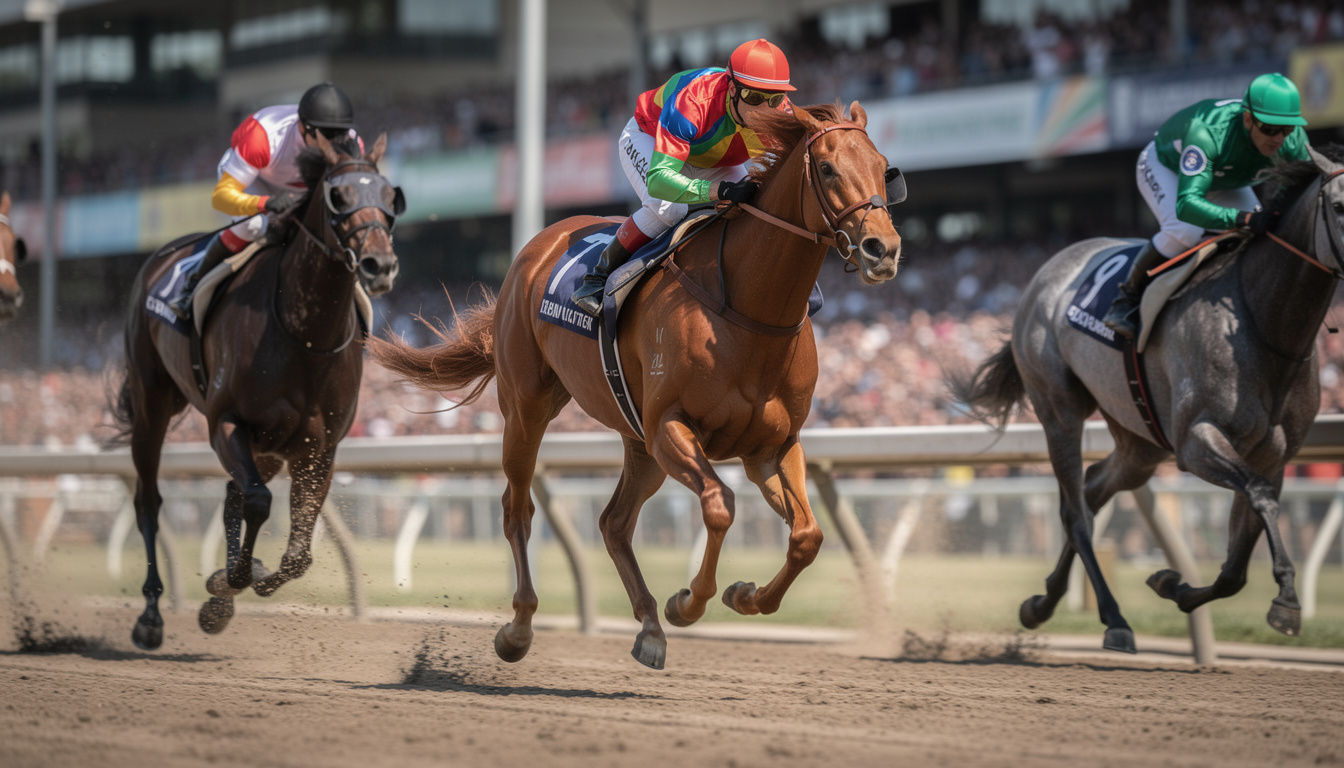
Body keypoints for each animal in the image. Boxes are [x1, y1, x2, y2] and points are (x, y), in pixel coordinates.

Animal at [108, 132, 401, 651]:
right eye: (339, 196)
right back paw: (151, 615)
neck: (305, 334)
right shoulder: (226, 422)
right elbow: (259, 502)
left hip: (268, 445)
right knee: (150, 502)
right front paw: (235, 578)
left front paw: (234, 584)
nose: (378, 264)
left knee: (233, 490)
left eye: (390, 197)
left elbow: (297, 552)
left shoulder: (318, 447)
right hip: (152, 404)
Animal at [369, 102, 902, 670]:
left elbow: (807, 535)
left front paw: (745, 595)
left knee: (614, 523)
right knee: (519, 509)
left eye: (883, 166)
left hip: (635, 439)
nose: (882, 249)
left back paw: (648, 627)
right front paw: (687, 603)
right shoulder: (671, 427)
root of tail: (536, 248)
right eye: (826, 168)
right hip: (527, 408)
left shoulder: (772, 446)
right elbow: (719, 505)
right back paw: (520, 628)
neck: (748, 311)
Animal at [949, 145, 1344, 653]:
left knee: (1093, 489)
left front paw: (1173, 584)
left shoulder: (1275, 456)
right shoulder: (1196, 442)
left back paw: (1043, 602)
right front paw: (1287, 602)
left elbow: (1237, 563)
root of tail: (1050, 270)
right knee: (1075, 512)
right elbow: (1256, 496)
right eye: (1339, 206)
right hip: (1058, 408)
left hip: (1139, 437)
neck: (1261, 323)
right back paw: (1113, 618)